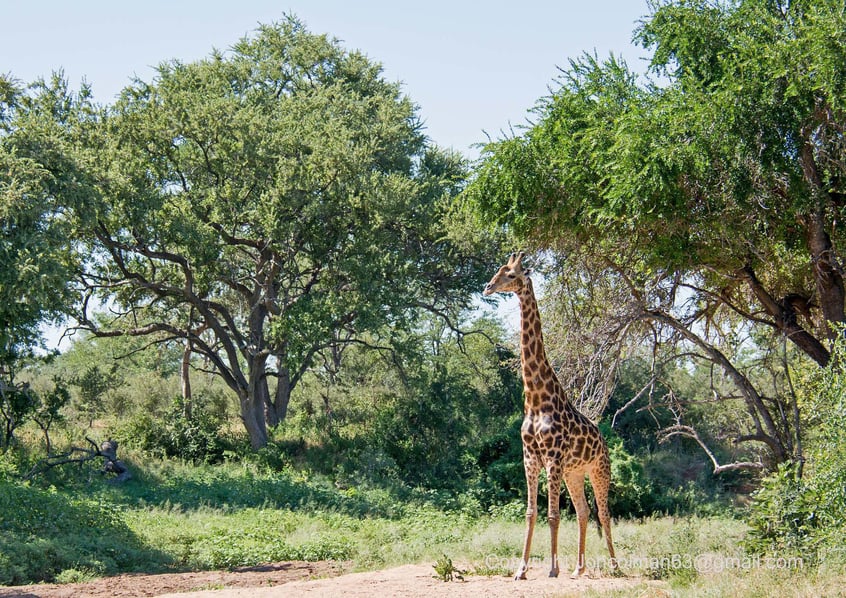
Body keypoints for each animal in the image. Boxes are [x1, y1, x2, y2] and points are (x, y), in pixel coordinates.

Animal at [486, 252, 620, 580]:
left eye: (510, 274)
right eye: (498, 271)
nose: (488, 287)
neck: (536, 399)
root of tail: (603, 440)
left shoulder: (553, 458)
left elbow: (553, 514)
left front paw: (552, 569)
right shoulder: (530, 458)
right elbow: (531, 513)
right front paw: (521, 570)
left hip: (599, 470)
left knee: (604, 513)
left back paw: (615, 566)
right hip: (575, 473)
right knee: (584, 511)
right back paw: (579, 568)